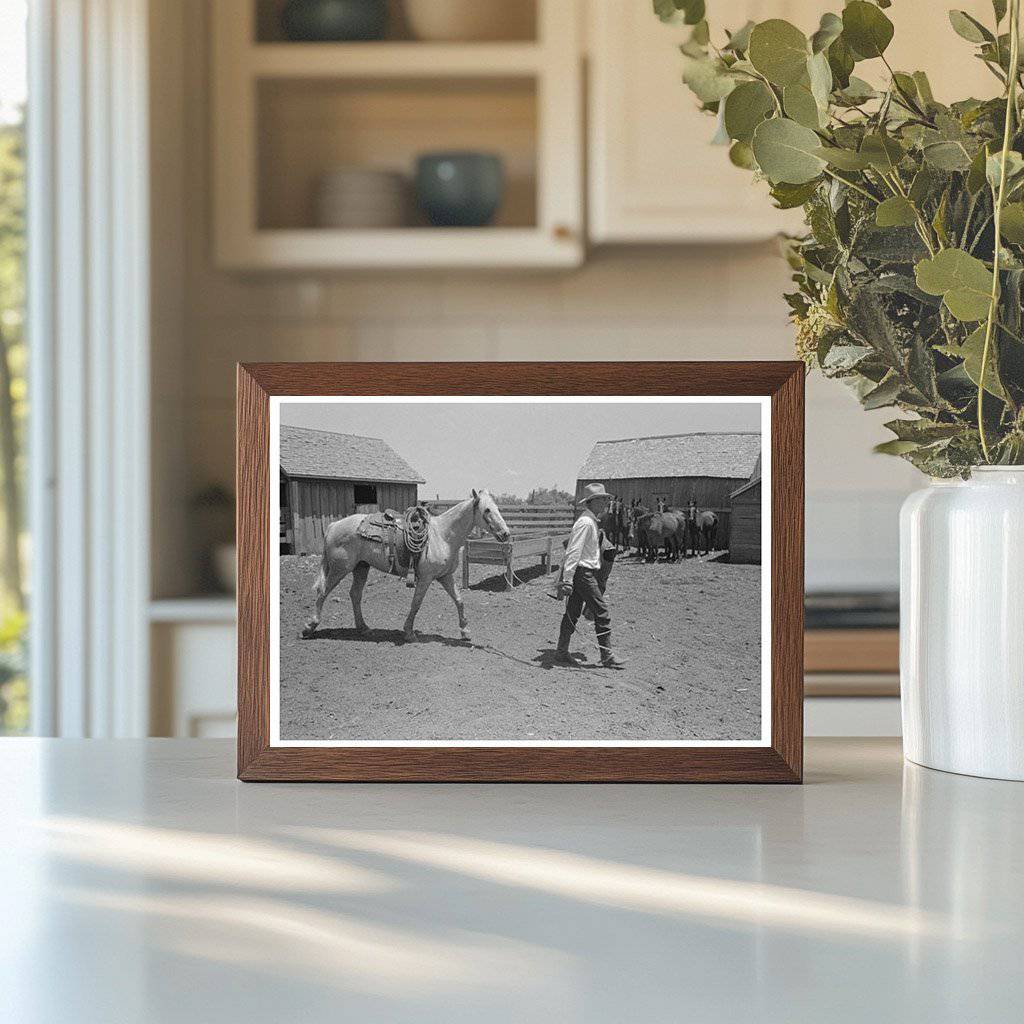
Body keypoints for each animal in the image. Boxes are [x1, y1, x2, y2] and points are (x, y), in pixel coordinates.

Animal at [303, 487, 512, 638]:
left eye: (498, 508)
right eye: (487, 510)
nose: (506, 533)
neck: (443, 536)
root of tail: (333, 526)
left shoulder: (445, 576)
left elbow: (459, 601)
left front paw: (465, 631)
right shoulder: (426, 578)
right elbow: (416, 603)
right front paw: (409, 632)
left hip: (361, 567)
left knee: (355, 595)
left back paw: (363, 628)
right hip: (340, 569)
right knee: (323, 592)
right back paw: (309, 627)